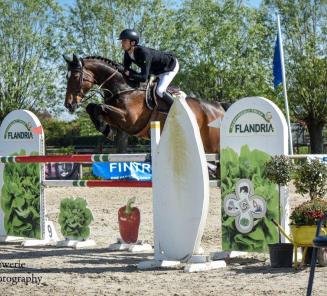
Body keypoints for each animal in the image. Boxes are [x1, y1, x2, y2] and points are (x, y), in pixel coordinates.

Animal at [64, 54, 227, 154]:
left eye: (76, 77)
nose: (68, 104)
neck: (123, 87)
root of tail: (219, 107)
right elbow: (92, 107)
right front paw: (106, 129)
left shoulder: (130, 120)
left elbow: (100, 106)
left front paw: (106, 130)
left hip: (213, 145)